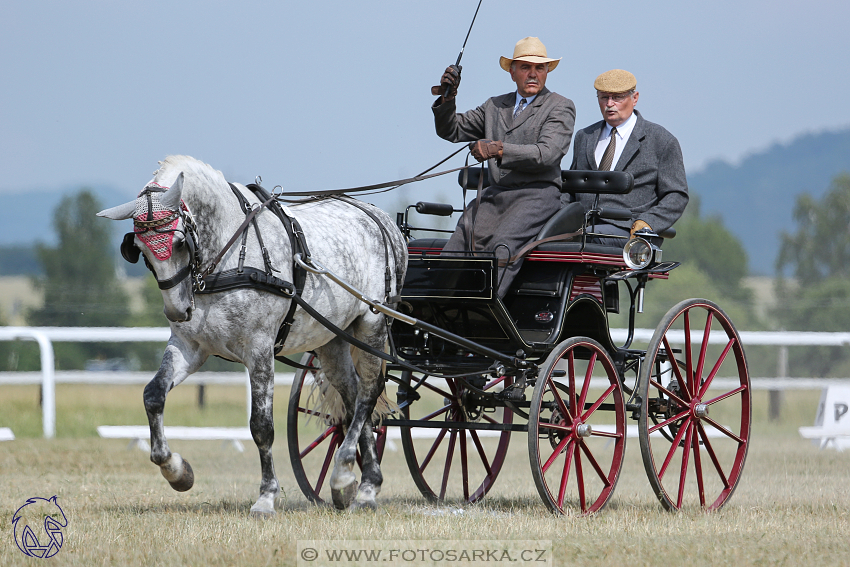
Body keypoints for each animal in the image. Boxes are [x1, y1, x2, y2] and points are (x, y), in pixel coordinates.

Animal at [97, 154, 406, 516]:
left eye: (179, 242)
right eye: (140, 251)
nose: (177, 311)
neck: (225, 259)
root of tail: (381, 218)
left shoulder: (259, 350)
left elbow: (261, 426)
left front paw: (266, 496)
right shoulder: (189, 346)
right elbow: (154, 394)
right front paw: (176, 470)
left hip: (372, 324)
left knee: (368, 394)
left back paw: (354, 478)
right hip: (333, 340)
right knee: (354, 396)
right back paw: (358, 482)